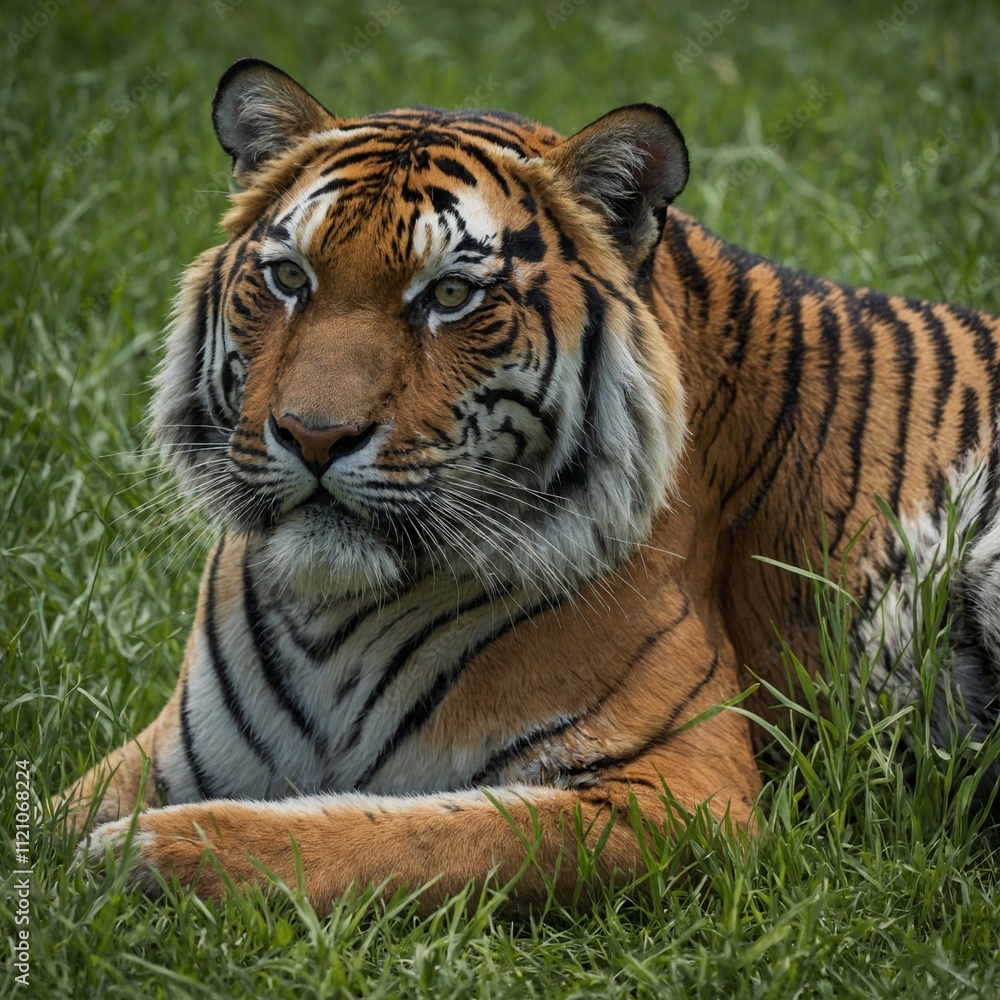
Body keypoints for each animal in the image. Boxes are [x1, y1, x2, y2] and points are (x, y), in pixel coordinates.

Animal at [59, 57, 1000, 914]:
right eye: (290, 278)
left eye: (449, 294)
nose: (314, 436)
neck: (336, 618)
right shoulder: (172, 747)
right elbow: (46, 809)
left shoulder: (687, 791)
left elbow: (422, 835)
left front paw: (154, 852)